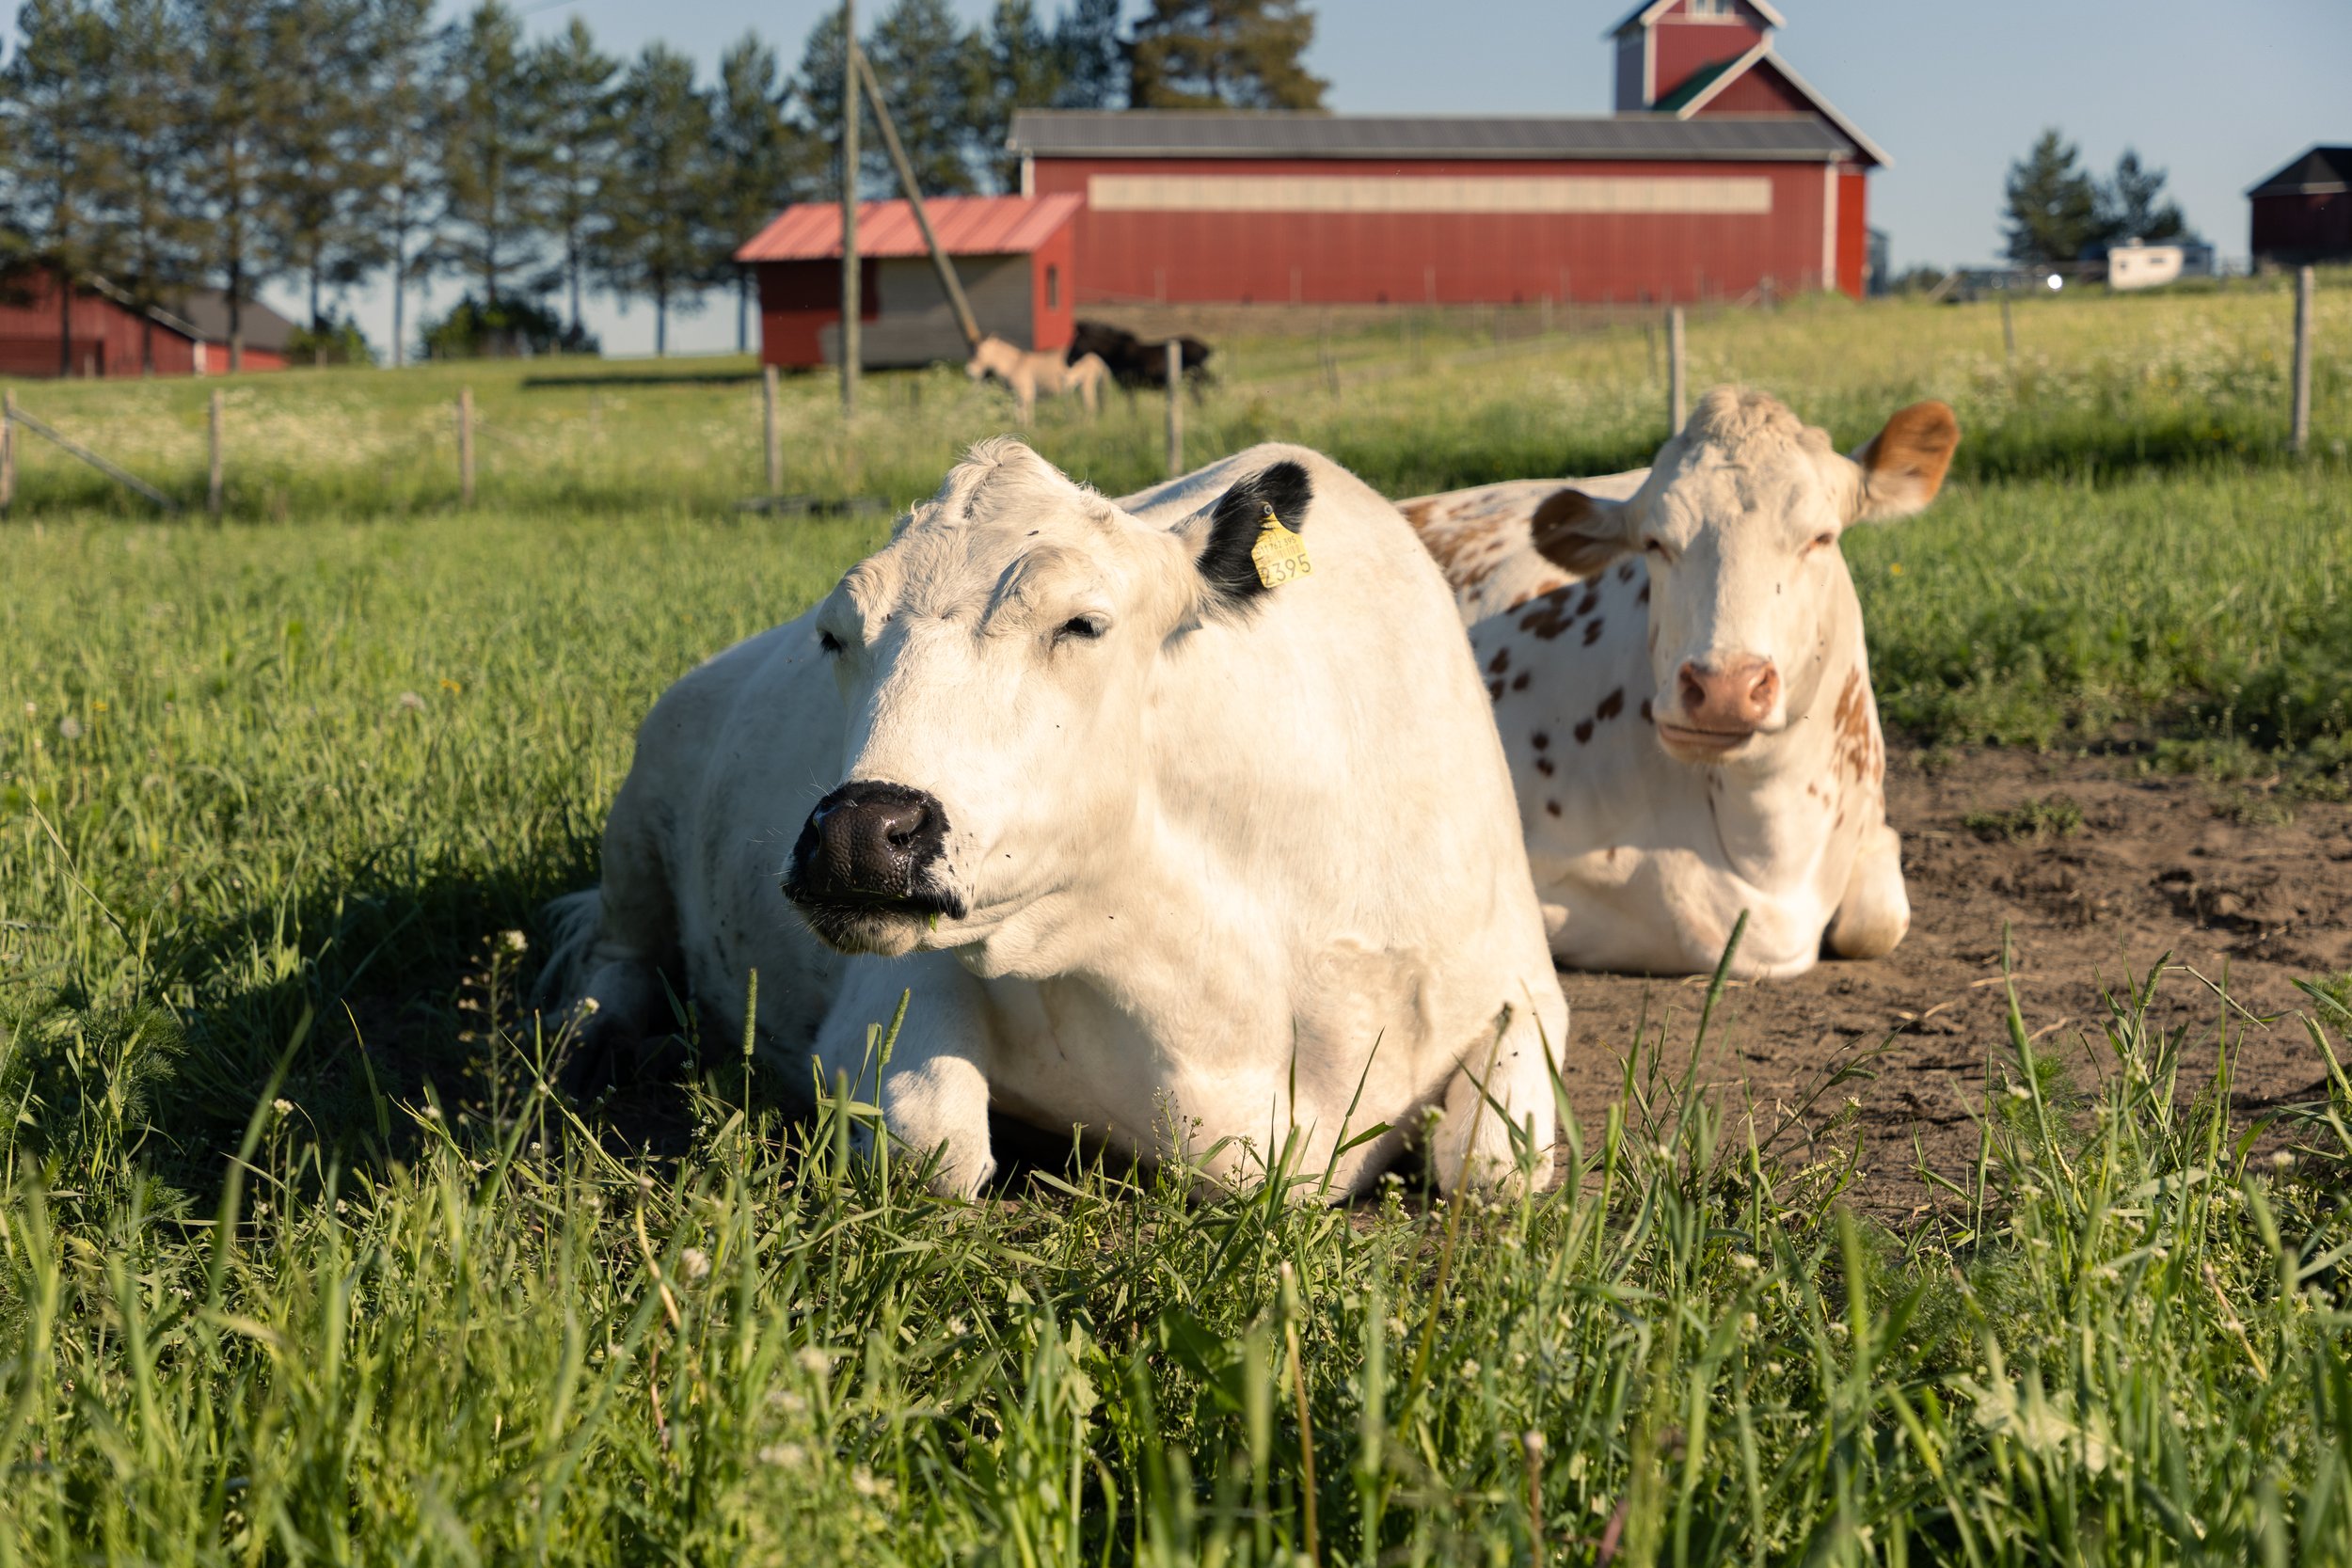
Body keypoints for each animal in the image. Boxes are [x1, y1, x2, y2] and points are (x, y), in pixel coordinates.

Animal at [546, 435, 1562, 1194]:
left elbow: (1495, 1169)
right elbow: (937, 1147)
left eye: (1081, 623)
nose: (859, 833)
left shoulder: (1524, 982)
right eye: (836, 634)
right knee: (616, 954)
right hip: (639, 815)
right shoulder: (894, 982)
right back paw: (590, 1039)